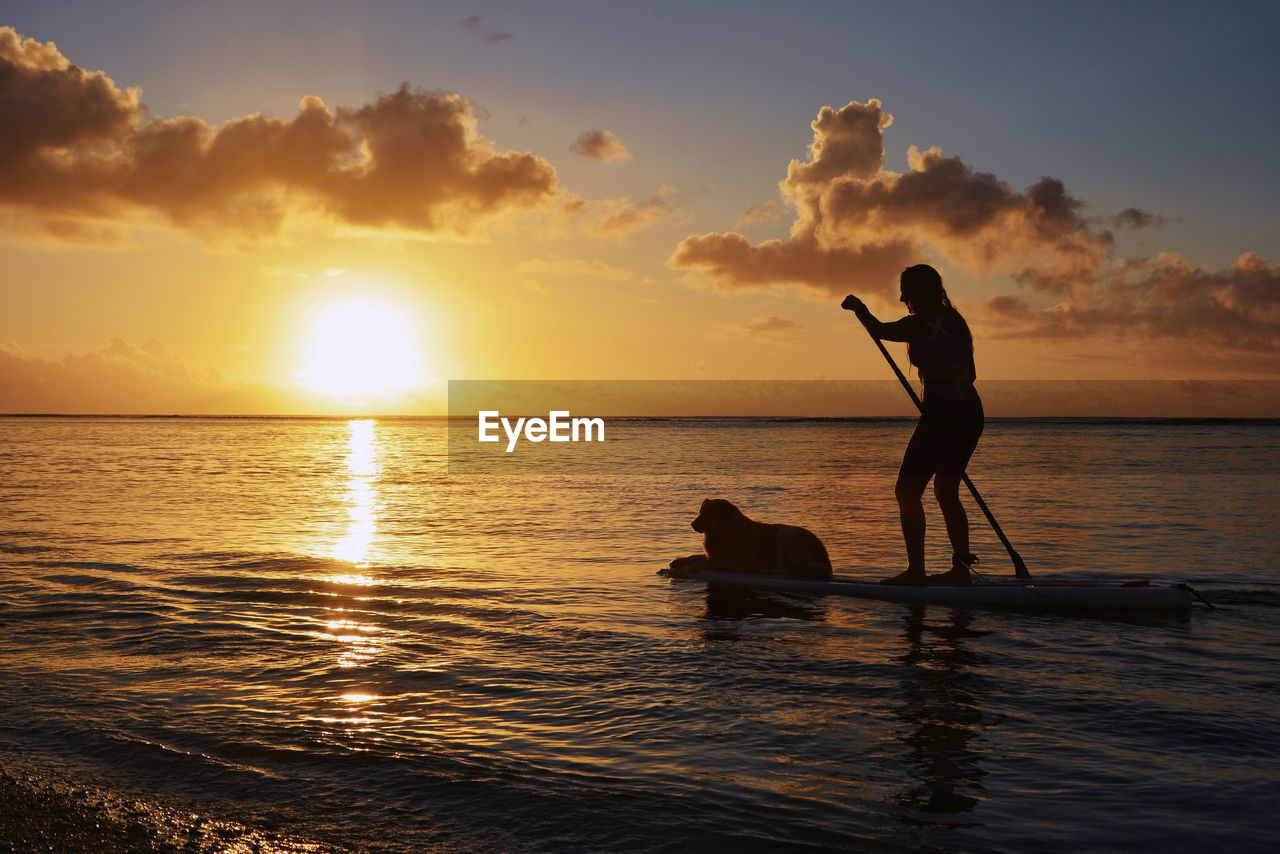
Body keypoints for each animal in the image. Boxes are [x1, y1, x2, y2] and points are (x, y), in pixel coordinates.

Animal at [665, 501, 834, 581]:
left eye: (711, 512)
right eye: (701, 511)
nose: (692, 524)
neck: (723, 533)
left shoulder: (739, 563)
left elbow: (711, 561)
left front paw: (692, 567)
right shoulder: (712, 553)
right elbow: (696, 556)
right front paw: (678, 561)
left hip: (785, 533)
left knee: (789, 568)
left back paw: (766, 570)